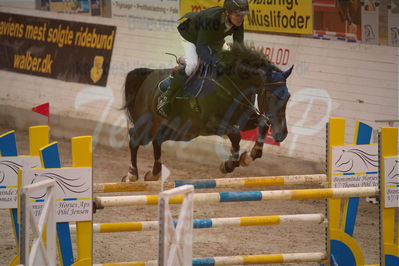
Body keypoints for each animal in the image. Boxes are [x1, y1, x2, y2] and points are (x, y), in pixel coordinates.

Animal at [123, 43, 292, 182]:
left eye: (288, 96)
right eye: (269, 95)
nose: (281, 134)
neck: (232, 86)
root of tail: (149, 75)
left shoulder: (245, 120)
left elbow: (262, 125)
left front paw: (249, 157)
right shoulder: (212, 125)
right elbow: (235, 135)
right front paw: (229, 164)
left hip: (182, 131)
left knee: (157, 140)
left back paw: (154, 173)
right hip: (147, 123)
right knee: (134, 139)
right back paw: (132, 174)